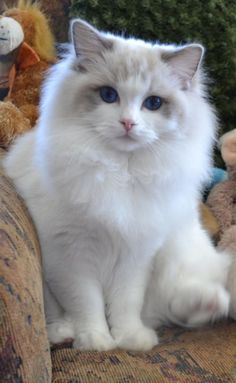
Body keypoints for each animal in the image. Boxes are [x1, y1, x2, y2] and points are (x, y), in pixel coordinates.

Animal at [3, 19, 230, 352]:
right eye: (109, 95)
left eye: (153, 103)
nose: (128, 124)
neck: (120, 172)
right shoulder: (71, 255)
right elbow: (87, 303)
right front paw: (96, 340)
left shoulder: (136, 255)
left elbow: (126, 304)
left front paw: (129, 338)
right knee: (61, 316)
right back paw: (64, 333)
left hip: (176, 248)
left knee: (172, 307)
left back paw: (211, 302)